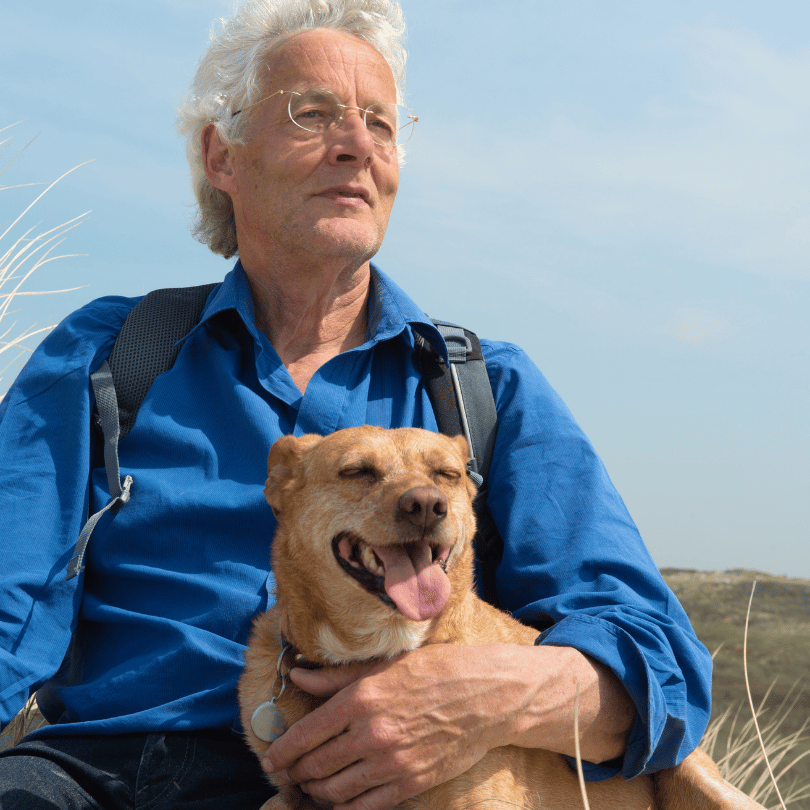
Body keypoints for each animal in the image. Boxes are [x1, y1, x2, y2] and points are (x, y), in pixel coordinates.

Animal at [240, 426, 764, 804]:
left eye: (447, 475)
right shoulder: (288, 797)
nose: (426, 505)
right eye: (357, 471)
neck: (378, 647)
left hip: (704, 781)